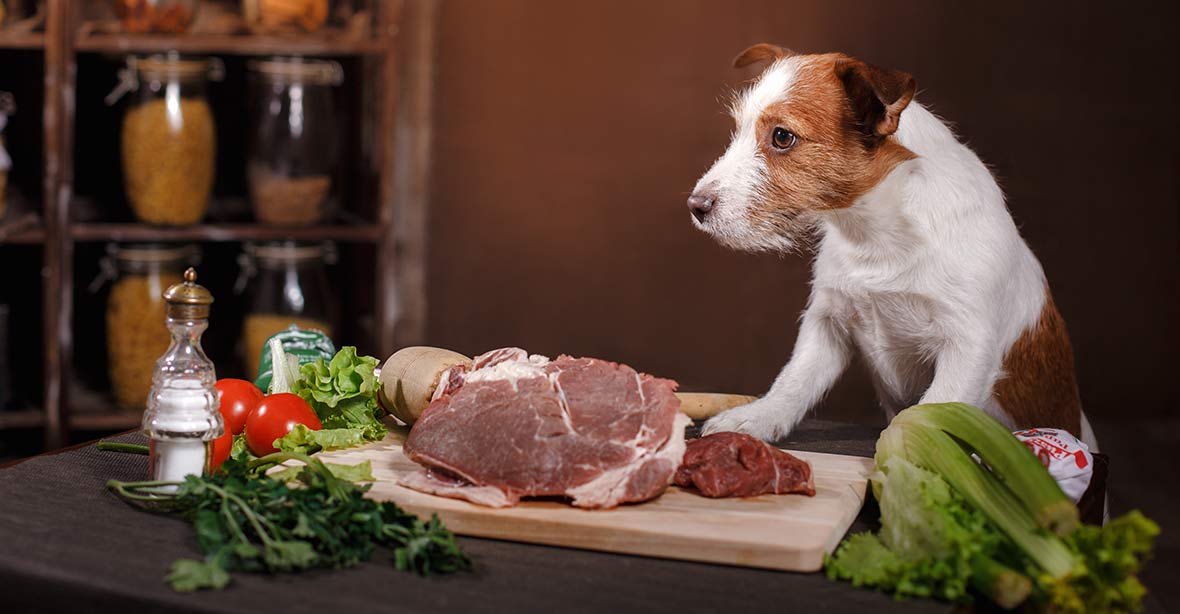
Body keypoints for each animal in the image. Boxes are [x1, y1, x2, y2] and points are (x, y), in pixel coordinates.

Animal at [689, 43, 1090, 446]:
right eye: (738, 130)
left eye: (782, 137)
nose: (696, 206)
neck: (874, 235)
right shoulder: (827, 322)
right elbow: (795, 379)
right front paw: (756, 417)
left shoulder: (967, 346)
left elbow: (935, 407)